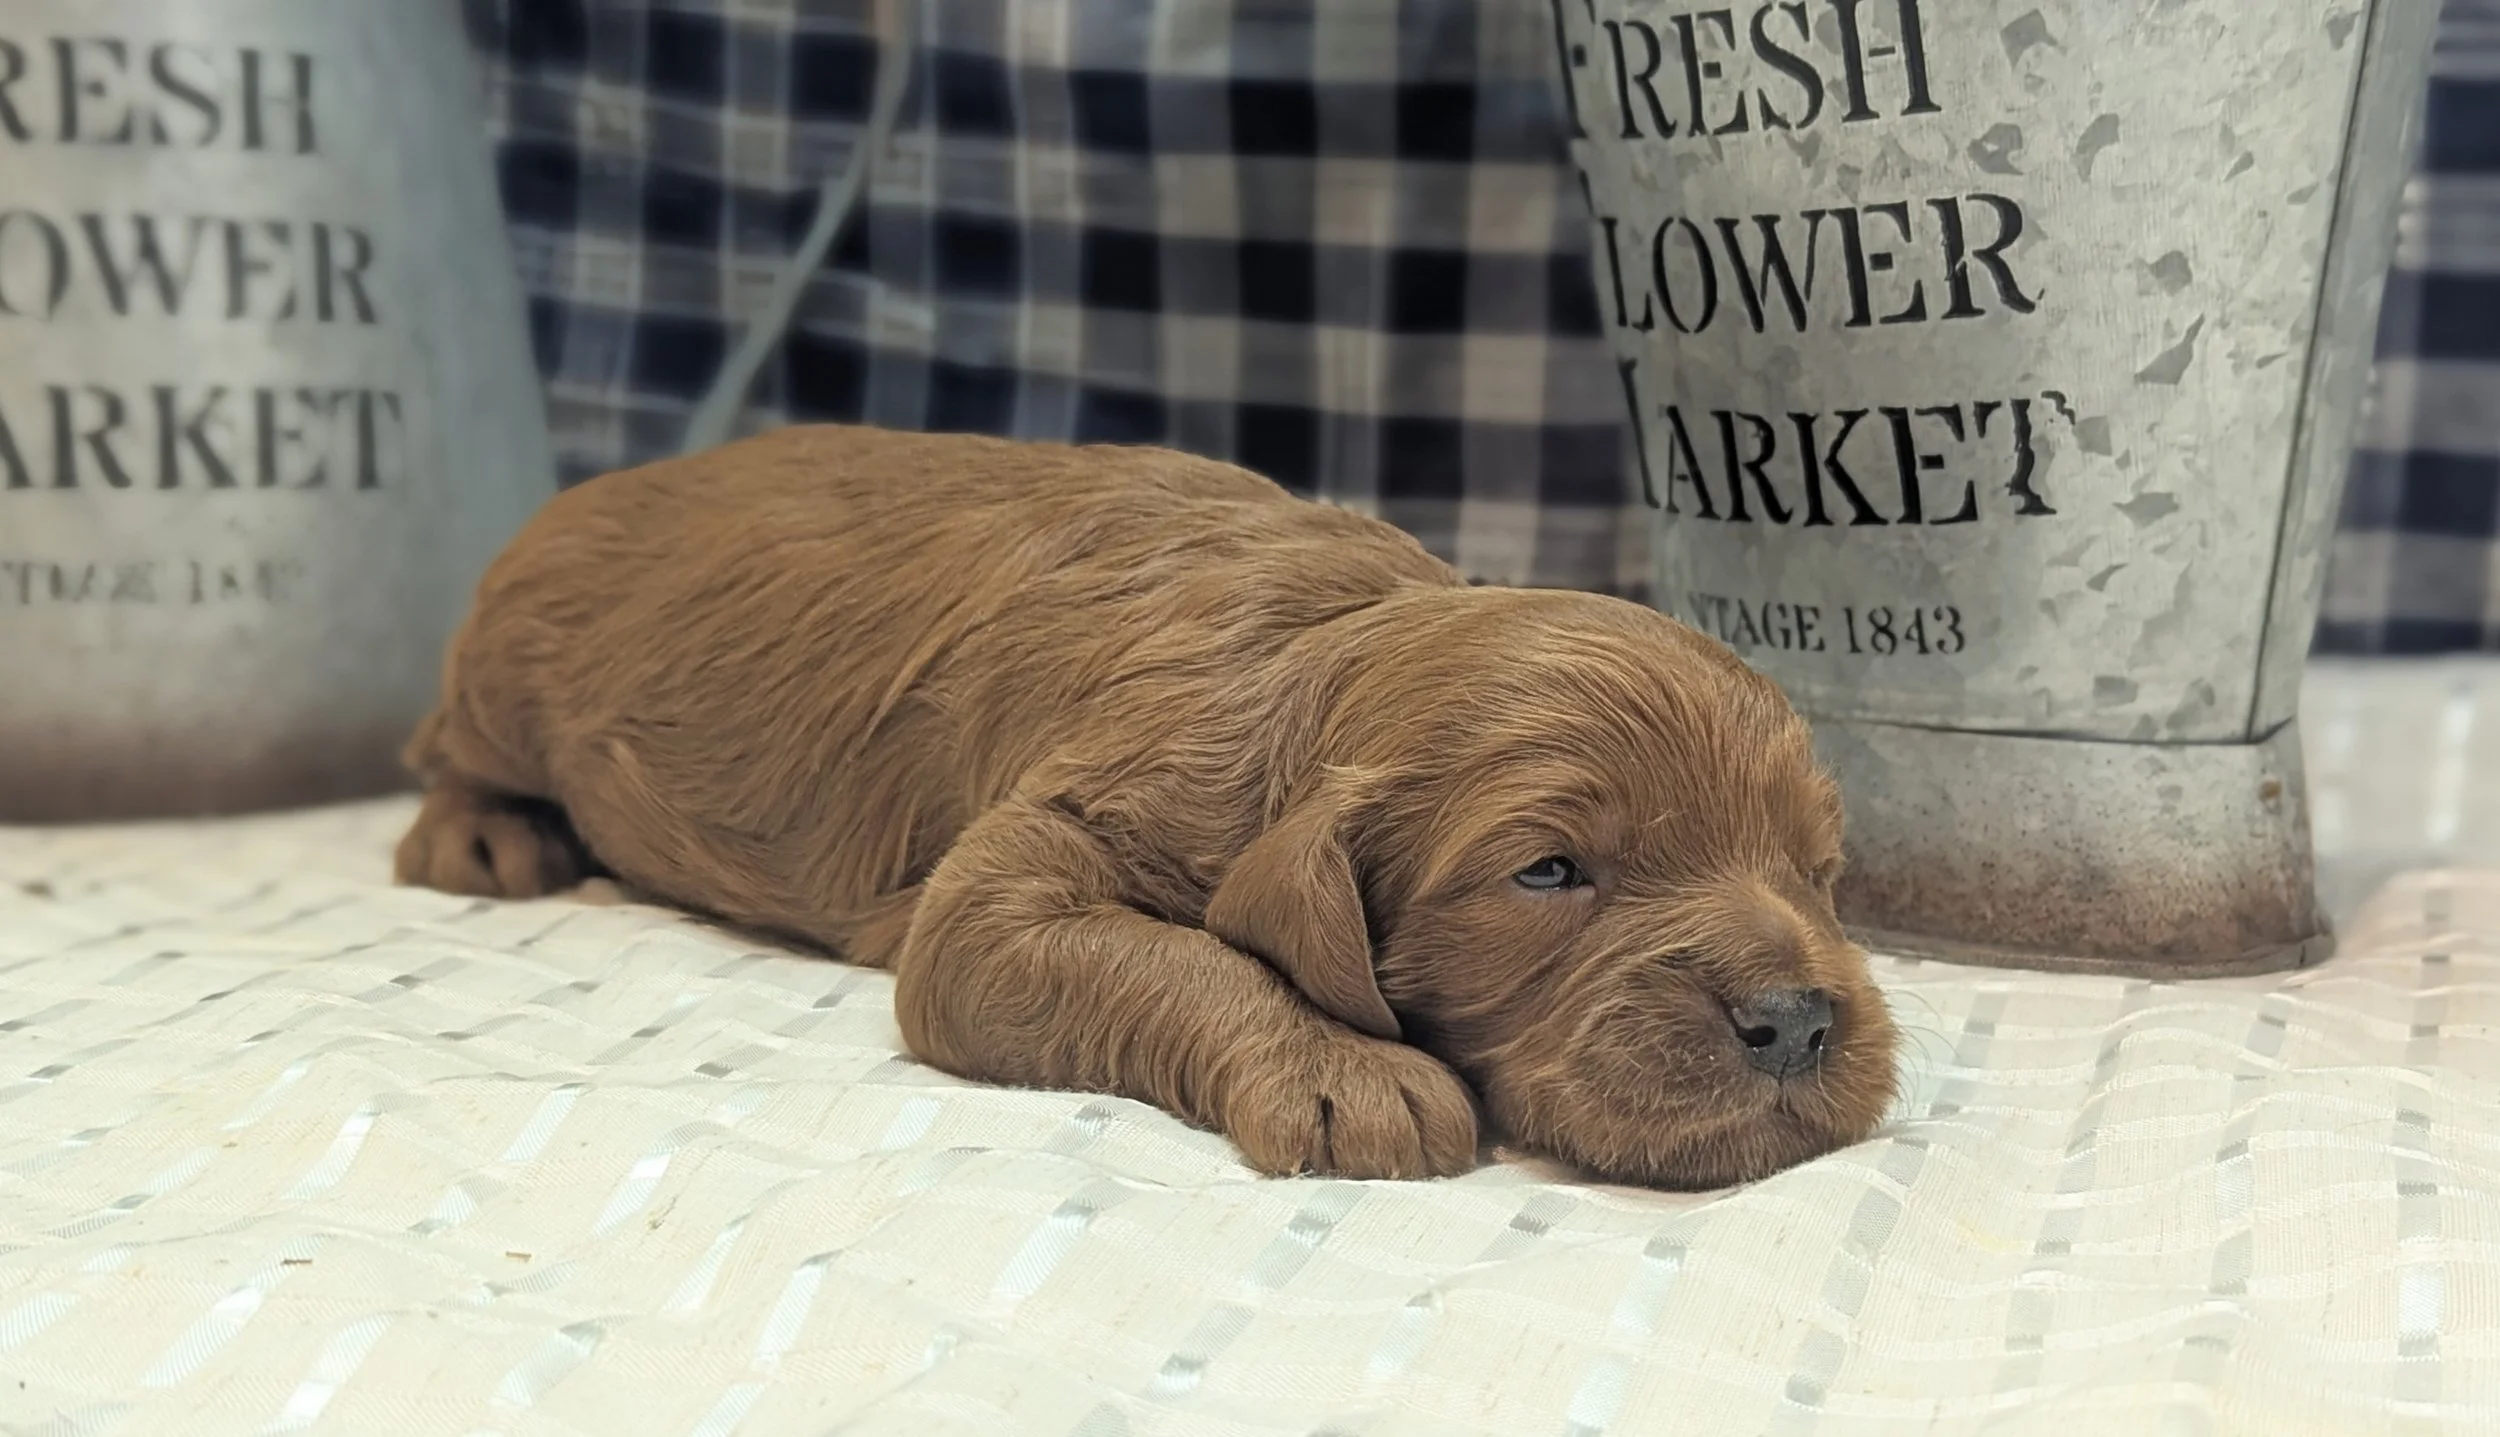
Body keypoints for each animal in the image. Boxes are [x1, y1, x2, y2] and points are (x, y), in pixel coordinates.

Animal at [393, 424, 1898, 1187]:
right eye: (1548, 872)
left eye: (1818, 867)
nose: (1799, 1020)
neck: (1316, 652)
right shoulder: (1042, 850)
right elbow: (1173, 954)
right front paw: (1342, 1068)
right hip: (505, 670)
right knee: (441, 743)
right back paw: (482, 836)